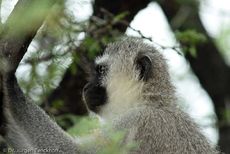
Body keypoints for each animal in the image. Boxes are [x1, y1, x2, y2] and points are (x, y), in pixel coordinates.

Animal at [0, 37, 219, 153]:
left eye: (101, 70)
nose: (86, 87)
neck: (147, 102)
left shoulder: (132, 121)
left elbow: (73, 150)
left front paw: (9, 81)